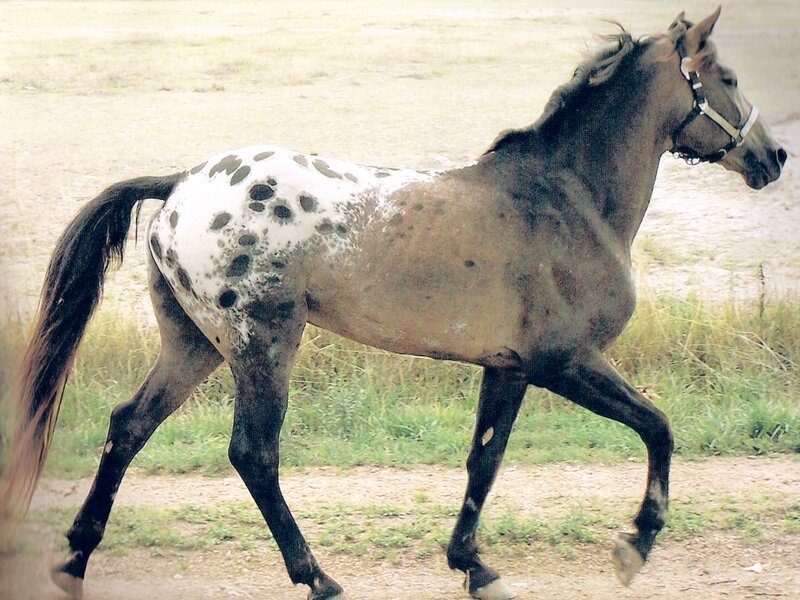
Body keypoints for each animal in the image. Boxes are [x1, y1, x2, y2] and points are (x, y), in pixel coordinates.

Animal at [1, 7, 786, 600]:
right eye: (727, 77)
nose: (773, 158)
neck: (569, 199)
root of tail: (182, 184)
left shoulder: (509, 367)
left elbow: (484, 463)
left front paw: (475, 567)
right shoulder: (566, 361)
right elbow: (658, 427)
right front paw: (636, 545)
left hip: (193, 344)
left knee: (129, 426)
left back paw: (76, 560)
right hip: (262, 345)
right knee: (253, 453)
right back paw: (317, 578)